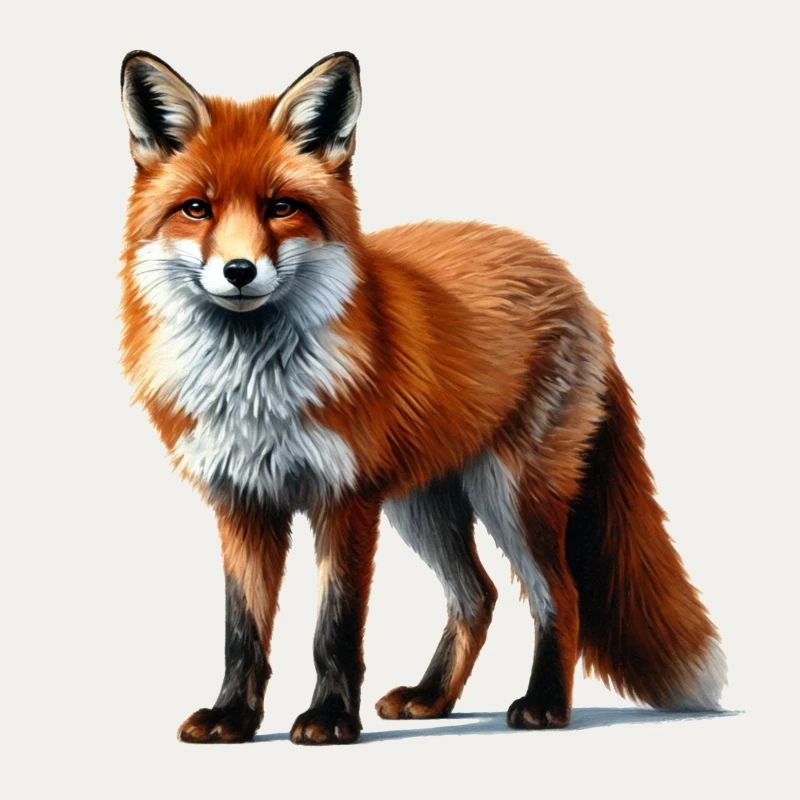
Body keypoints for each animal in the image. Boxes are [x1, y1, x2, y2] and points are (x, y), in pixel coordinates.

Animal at [119, 50, 726, 744]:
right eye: (197, 209)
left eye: (281, 207)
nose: (239, 271)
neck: (256, 387)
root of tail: (567, 278)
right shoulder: (242, 501)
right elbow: (241, 632)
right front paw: (234, 718)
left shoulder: (346, 499)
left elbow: (334, 629)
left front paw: (330, 718)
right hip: (424, 505)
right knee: (478, 596)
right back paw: (433, 697)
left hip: (512, 493)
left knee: (559, 594)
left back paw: (544, 704)